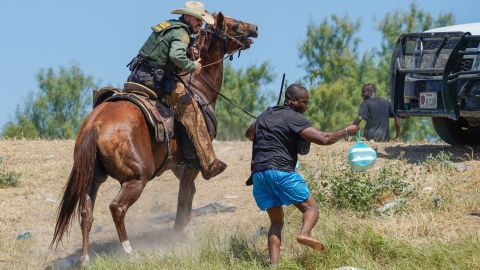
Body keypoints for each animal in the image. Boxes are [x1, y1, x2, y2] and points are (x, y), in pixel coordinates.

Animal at [50, 12, 256, 264]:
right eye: (234, 24)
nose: (255, 29)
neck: (198, 86)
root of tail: (95, 126)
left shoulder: (178, 165)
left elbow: (188, 195)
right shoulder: (192, 164)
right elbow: (183, 198)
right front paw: (179, 235)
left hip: (93, 178)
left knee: (86, 213)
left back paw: (85, 258)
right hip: (137, 178)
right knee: (117, 207)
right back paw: (128, 250)